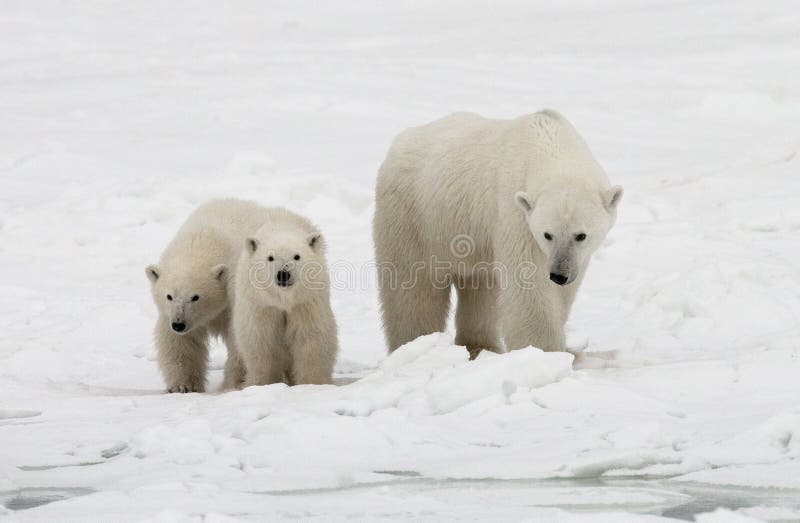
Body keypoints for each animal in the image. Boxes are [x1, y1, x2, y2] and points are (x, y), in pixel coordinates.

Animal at [145, 198, 273, 393]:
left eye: (195, 297)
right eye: (169, 296)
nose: (179, 324)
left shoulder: (234, 297)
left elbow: (239, 339)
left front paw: (232, 384)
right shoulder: (171, 314)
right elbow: (180, 343)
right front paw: (183, 386)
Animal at [232, 208, 338, 386]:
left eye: (297, 256)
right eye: (270, 257)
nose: (283, 274)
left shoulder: (305, 302)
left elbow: (310, 338)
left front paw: (312, 383)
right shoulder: (261, 304)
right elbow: (262, 342)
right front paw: (262, 383)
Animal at [373, 110, 623, 356]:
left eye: (581, 235)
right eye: (547, 234)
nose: (559, 275)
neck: (550, 140)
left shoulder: (575, 256)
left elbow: (563, 294)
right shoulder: (516, 213)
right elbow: (528, 283)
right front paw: (544, 352)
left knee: (481, 287)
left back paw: (481, 346)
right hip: (416, 216)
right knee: (413, 286)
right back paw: (413, 344)